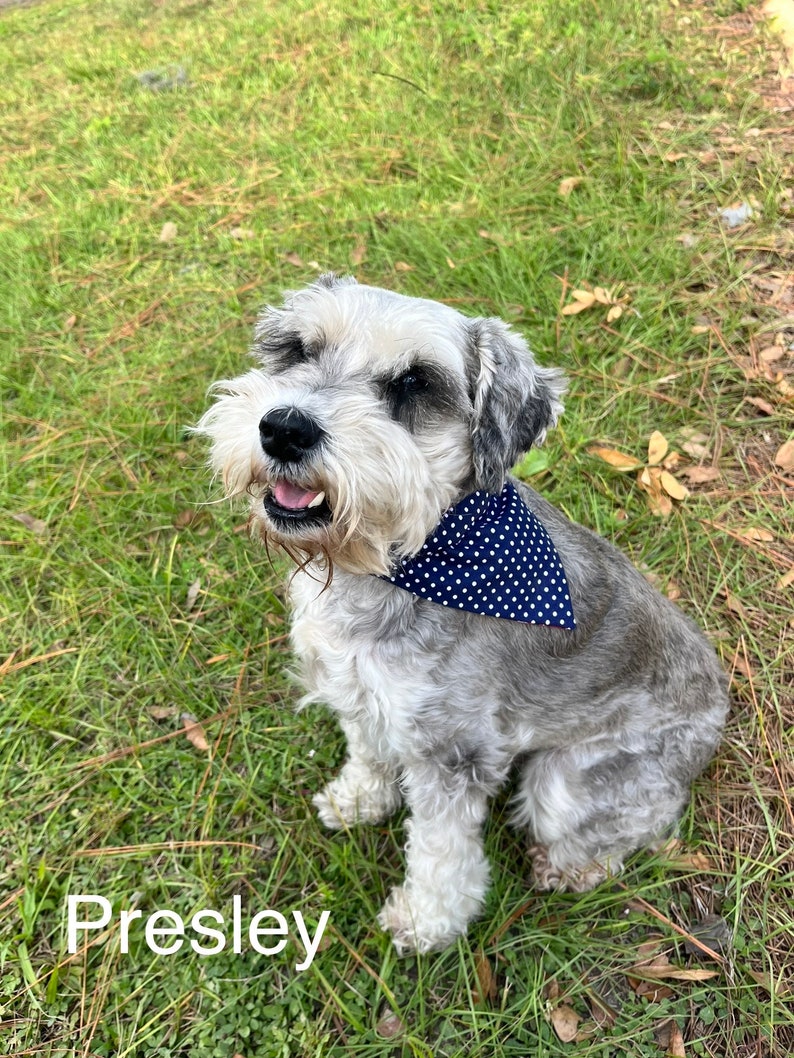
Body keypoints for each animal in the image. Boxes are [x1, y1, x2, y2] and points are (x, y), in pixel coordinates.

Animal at [195, 272, 732, 952]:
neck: (397, 562)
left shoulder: (454, 750)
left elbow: (442, 849)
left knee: (635, 824)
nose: (284, 429)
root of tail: (720, 707)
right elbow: (368, 751)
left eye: (415, 383)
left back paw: (570, 867)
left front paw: (427, 919)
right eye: (297, 349)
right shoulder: (361, 690)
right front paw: (357, 799)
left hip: (570, 781)